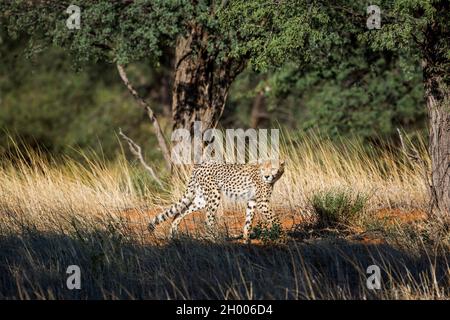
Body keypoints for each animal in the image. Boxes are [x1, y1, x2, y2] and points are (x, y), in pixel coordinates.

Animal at [149, 160, 286, 242]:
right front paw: (281, 235)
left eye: (273, 168)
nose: (267, 176)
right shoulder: (262, 202)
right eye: (263, 169)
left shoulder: (252, 200)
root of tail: (199, 165)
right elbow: (274, 218)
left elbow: (249, 220)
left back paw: (173, 235)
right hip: (214, 195)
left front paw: (246, 239)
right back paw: (214, 239)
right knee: (208, 218)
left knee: (179, 212)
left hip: (201, 200)